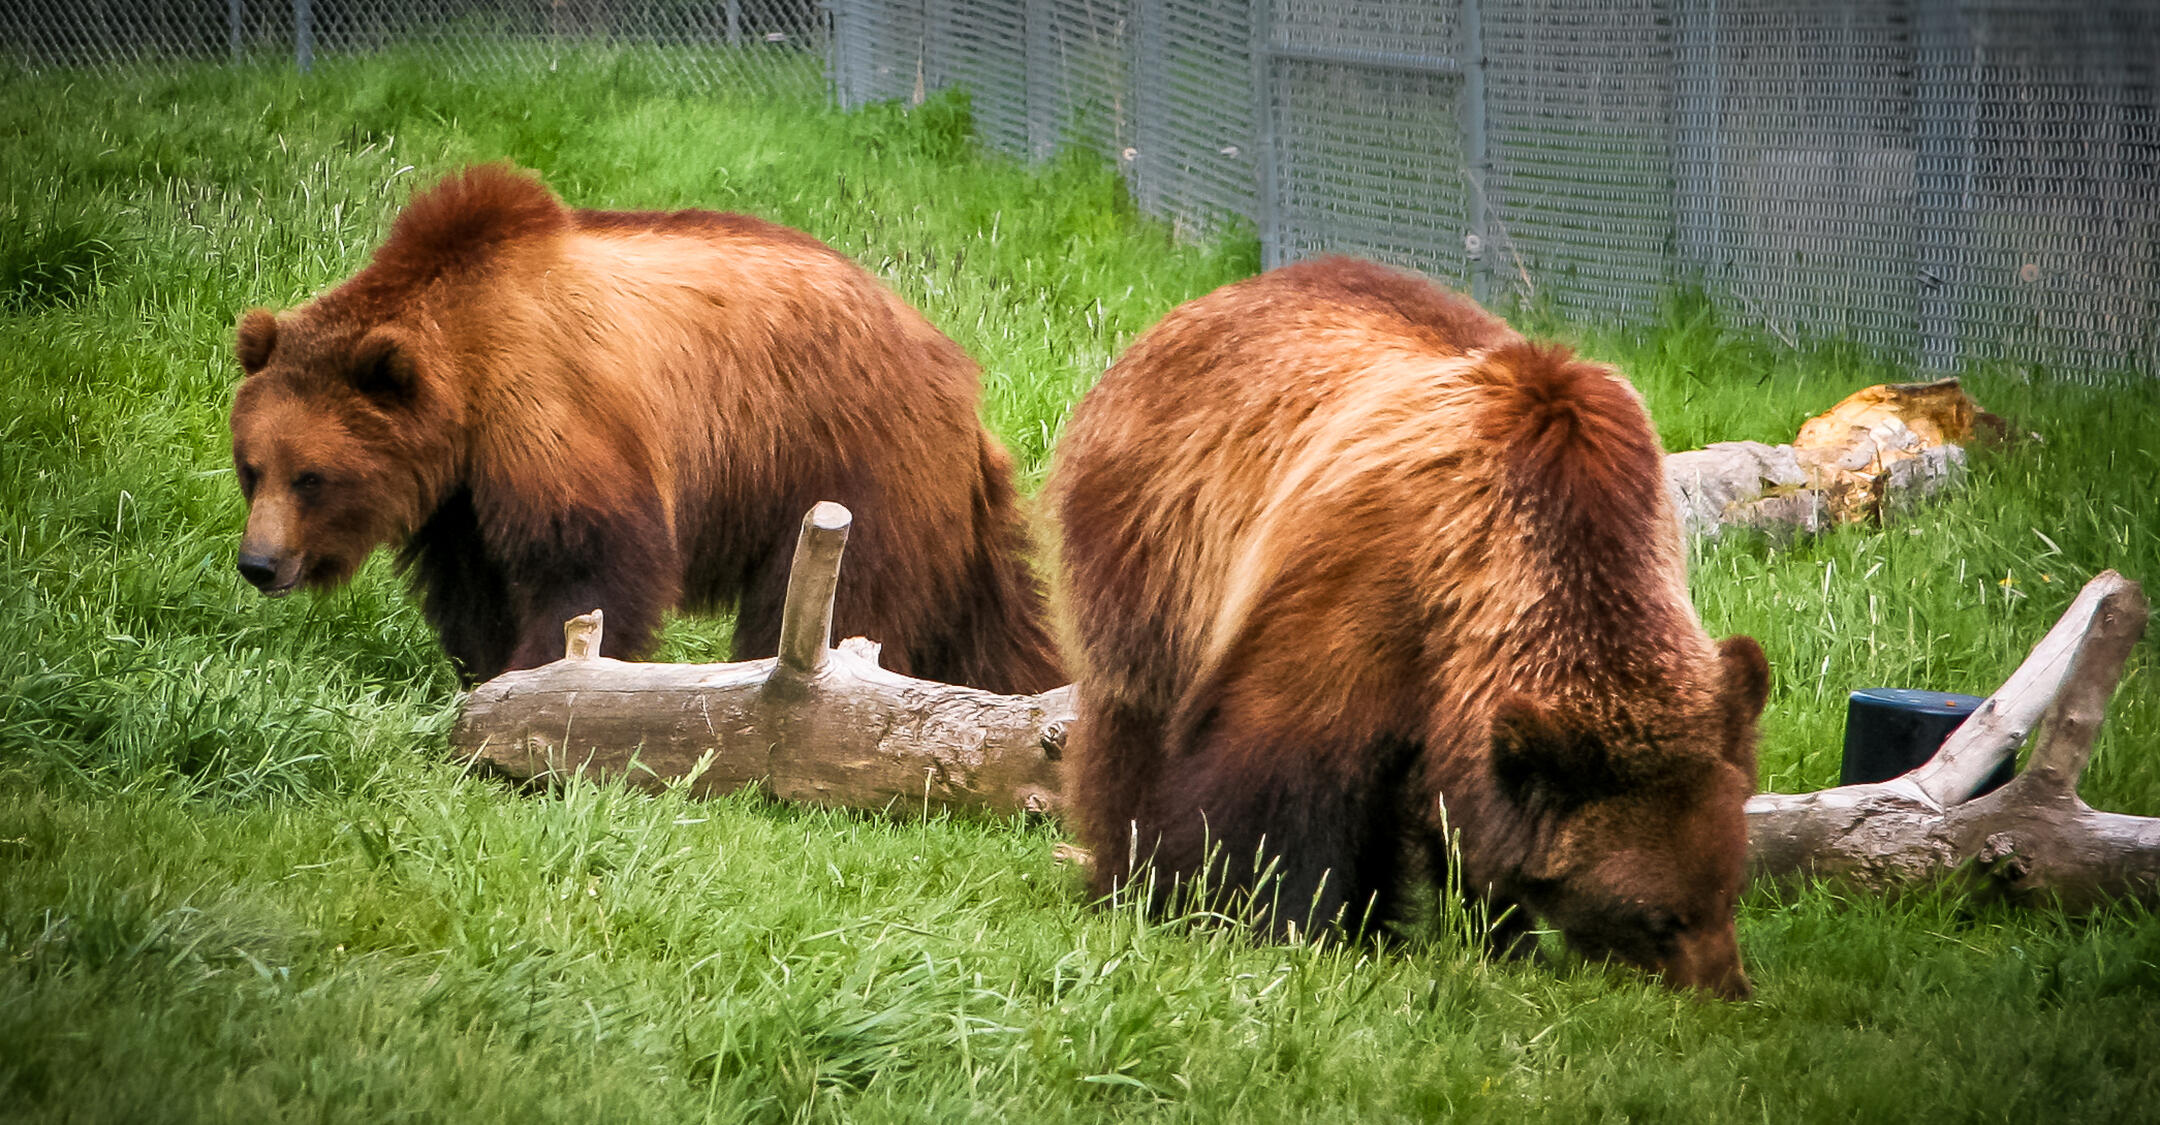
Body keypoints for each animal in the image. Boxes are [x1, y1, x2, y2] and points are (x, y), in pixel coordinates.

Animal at [230, 160, 1062, 686]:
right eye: (251, 468)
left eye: (312, 476)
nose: (258, 563)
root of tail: (954, 369)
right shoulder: (460, 495)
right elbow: (475, 585)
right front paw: (484, 666)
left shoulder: (551, 406)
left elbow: (592, 558)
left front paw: (542, 671)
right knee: (985, 618)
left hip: (848, 457)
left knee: (834, 595)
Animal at [1049, 259, 1771, 997]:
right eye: (1659, 919)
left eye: (1728, 891)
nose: (1729, 987)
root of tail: (1189, 312)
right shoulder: (1359, 588)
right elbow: (1279, 781)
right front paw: (1279, 925)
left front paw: (1501, 938)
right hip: (1160, 544)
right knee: (1138, 724)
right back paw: (1133, 879)